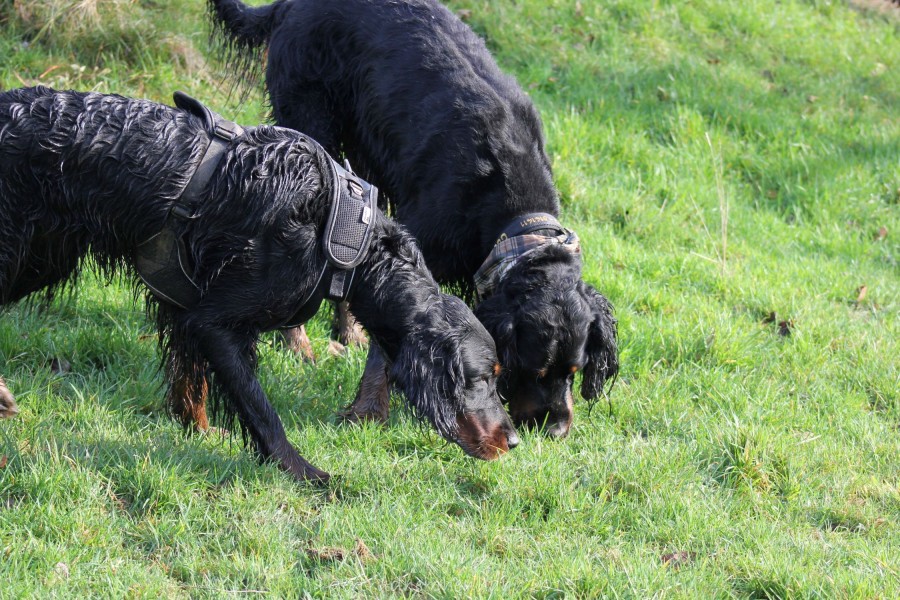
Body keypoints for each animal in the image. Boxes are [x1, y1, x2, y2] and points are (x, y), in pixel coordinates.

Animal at [0, 86, 519, 483]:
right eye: (481, 378)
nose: (513, 438)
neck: (347, 239)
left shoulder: (184, 307)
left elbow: (191, 383)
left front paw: (198, 430)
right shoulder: (215, 322)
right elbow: (260, 408)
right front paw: (304, 472)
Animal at [208, 0, 619, 437]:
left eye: (573, 371)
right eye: (534, 369)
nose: (555, 430)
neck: (512, 208)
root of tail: (291, 5)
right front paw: (368, 412)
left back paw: (349, 331)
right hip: (313, 125)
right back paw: (297, 343)